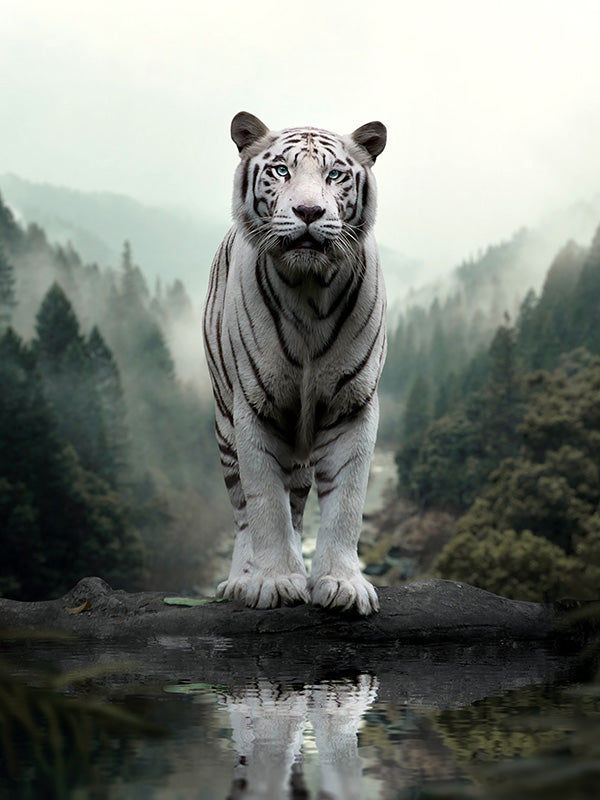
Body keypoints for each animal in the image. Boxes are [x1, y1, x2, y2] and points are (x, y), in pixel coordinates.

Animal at [203, 111, 387, 615]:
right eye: (282, 170)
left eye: (335, 175)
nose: (308, 212)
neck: (309, 290)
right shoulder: (255, 408)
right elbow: (265, 504)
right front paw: (276, 581)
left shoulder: (352, 406)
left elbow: (346, 502)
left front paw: (341, 583)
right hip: (225, 427)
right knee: (244, 511)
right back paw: (240, 580)